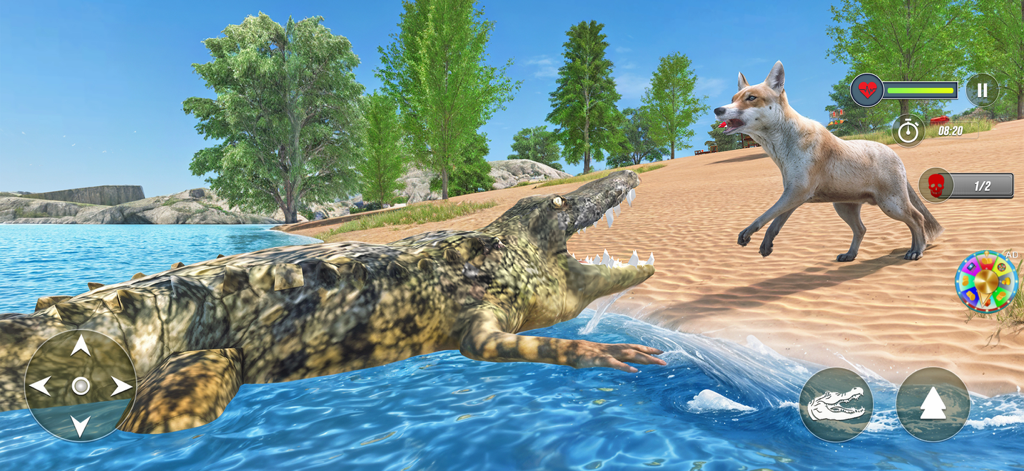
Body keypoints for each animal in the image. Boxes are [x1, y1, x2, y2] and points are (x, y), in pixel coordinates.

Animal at [713, 61, 943, 261]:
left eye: (751, 98)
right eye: (733, 97)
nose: (718, 110)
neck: (783, 149)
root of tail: (894, 154)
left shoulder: (798, 191)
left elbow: (767, 215)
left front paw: (748, 233)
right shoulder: (795, 194)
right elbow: (776, 221)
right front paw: (766, 244)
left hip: (891, 205)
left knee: (917, 219)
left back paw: (917, 250)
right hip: (845, 207)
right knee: (863, 229)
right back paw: (851, 255)